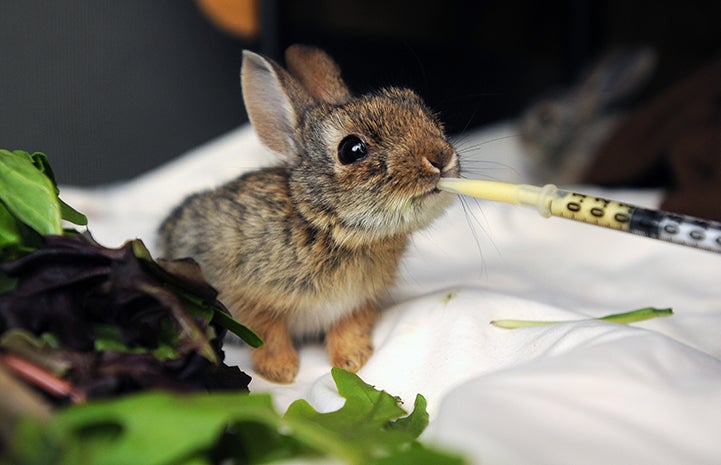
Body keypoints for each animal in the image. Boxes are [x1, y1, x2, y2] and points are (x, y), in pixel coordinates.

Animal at [158, 45, 460, 383]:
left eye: (427, 115)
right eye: (352, 149)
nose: (440, 157)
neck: (321, 224)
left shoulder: (356, 304)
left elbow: (347, 329)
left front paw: (352, 360)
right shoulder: (247, 297)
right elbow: (267, 332)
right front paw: (281, 371)